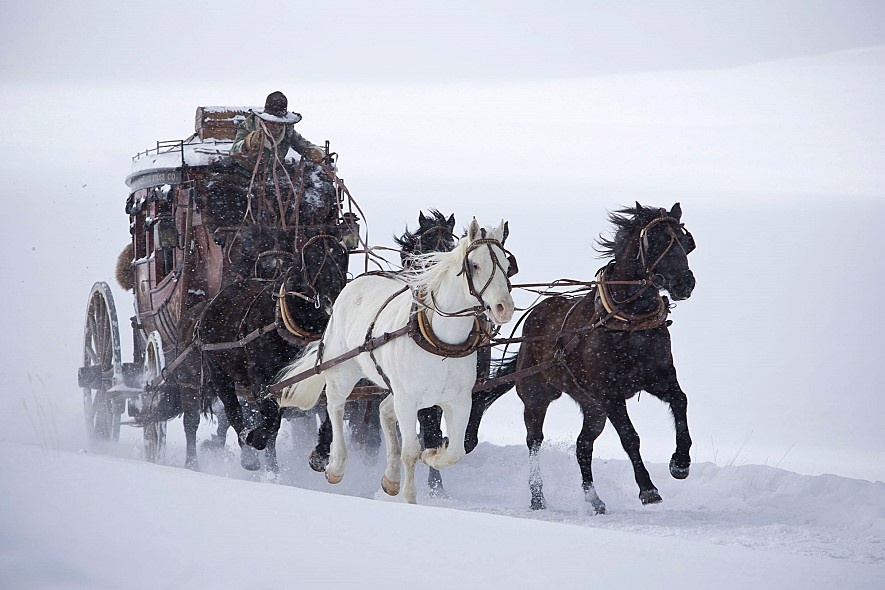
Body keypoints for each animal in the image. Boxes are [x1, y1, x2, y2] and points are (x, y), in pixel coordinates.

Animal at [274, 220, 512, 506]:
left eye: (507, 265)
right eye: (475, 265)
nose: (504, 308)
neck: (440, 341)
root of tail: (354, 283)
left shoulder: (459, 400)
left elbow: (455, 451)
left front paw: (433, 455)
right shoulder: (408, 400)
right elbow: (410, 451)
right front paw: (410, 499)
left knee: (384, 410)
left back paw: (390, 477)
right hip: (343, 371)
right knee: (335, 407)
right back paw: (336, 466)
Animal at [466, 204, 696, 512]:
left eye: (685, 242)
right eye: (656, 241)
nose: (685, 283)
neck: (628, 322)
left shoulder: (658, 378)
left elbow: (681, 402)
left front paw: (680, 463)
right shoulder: (610, 394)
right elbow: (630, 437)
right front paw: (648, 488)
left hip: (592, 407)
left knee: (583, 445)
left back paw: (593, 499)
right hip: (538, 396)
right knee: (534, 441)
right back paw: (537, 496)